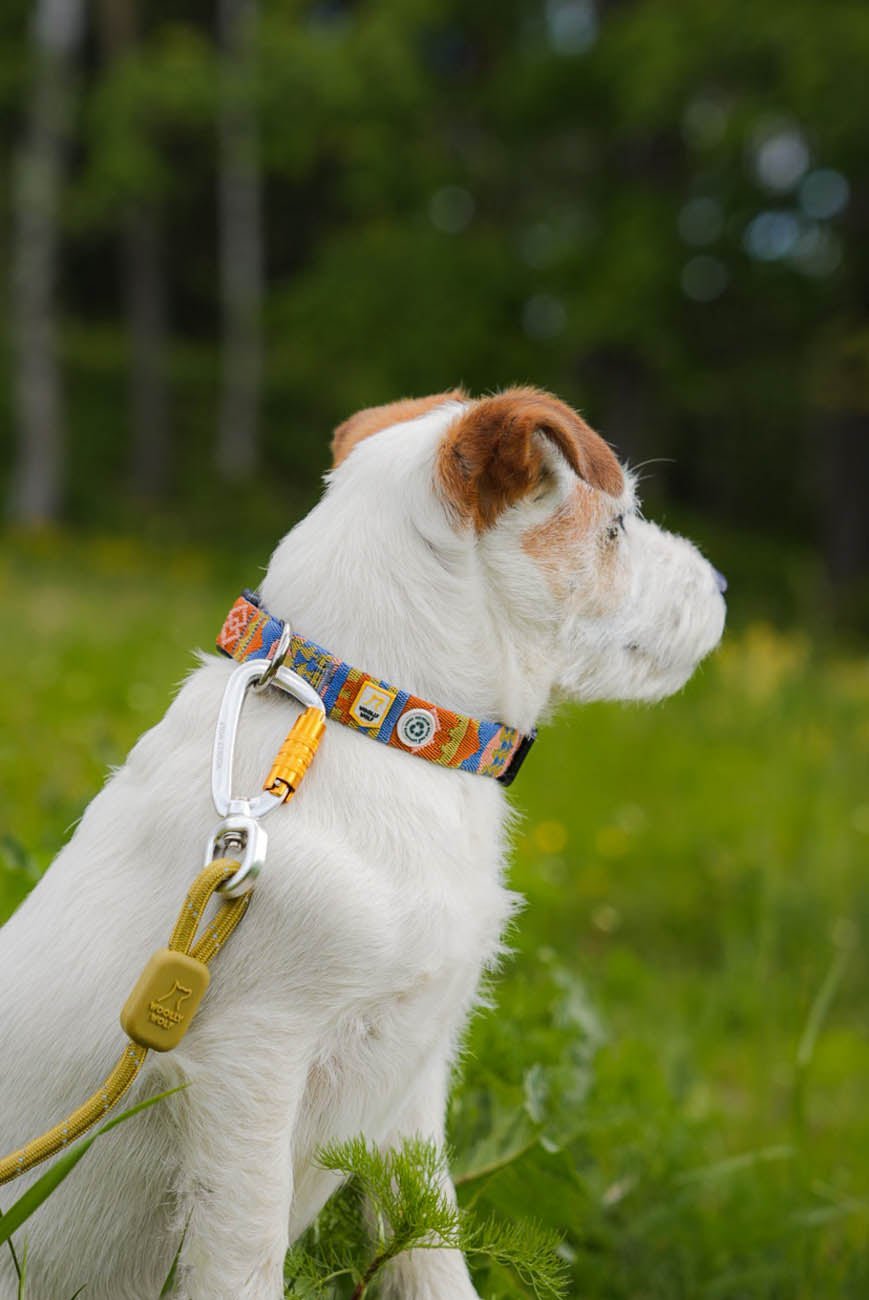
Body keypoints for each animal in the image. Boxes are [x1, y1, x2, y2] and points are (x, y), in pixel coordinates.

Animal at [0, 387, 723, 1300]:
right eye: (618, 526)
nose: (723, 584)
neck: (363, 718)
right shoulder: (249, 1066)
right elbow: (244, 1264)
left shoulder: (411, 1075)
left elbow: (430, 1246)